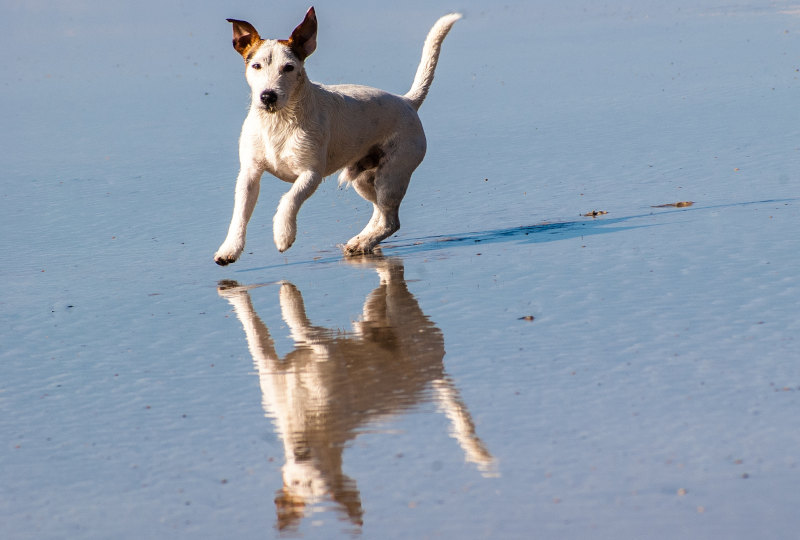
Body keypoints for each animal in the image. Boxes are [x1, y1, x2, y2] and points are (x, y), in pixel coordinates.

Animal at [214, 5, 462, 264]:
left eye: (289, 68)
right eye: (256, 66)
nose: (268, 96)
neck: (278, 121)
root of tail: (408, 102)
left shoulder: (311, 173)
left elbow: (291, 198)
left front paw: (283, 235)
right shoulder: (249, 174)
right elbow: (240, 213)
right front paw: (229, 249)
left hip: (392, 175)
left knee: (390, 222)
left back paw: (363, 242)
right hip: (364, 179)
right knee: (382, 215)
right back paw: (360, 241)